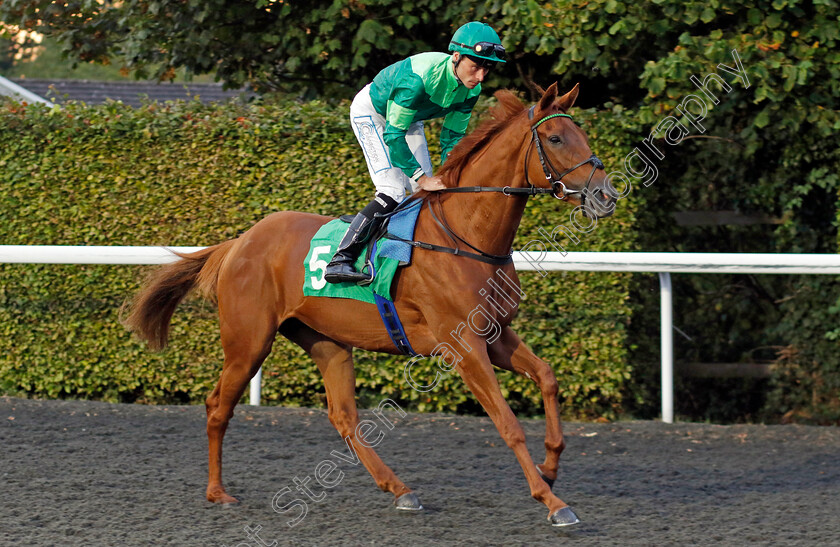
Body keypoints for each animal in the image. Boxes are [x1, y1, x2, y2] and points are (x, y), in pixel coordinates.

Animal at [123, 84, 616, 528]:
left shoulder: (494, 334)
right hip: (249, 341)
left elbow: (547, 377)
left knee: (344, 417)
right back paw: (218, 492)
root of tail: (239, 241)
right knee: (216, 407)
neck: (465, 236)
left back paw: (400, 490)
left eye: (582, 134)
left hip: (327, 341)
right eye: (555, 138)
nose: (606, 195)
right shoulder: (464, 347)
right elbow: (507, 422)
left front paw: (550, 469)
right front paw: (552, 502)